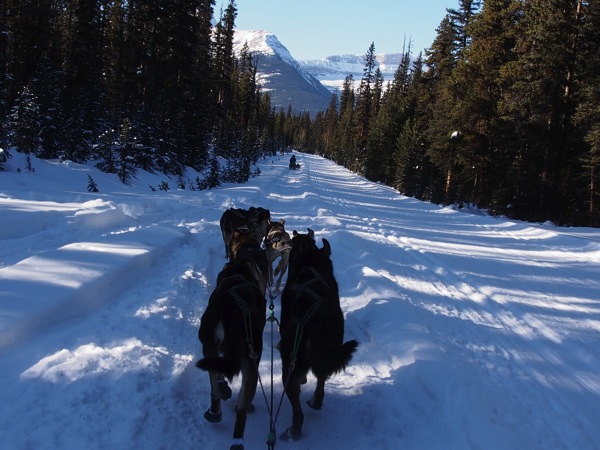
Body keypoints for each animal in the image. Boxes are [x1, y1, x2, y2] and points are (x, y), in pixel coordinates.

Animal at [197, 246, 268, 450]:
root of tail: (230, 308)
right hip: (250, 361)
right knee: (241, 409)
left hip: (210, 349)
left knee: (215, 387)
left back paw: (216, 412)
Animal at [278, 229, 358, 440]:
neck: (311, 262)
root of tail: (315, 320)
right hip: (329, 352)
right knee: (321, 381)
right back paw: (315, 402)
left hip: (289, 366)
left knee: (297, 410)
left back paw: (293, 431)